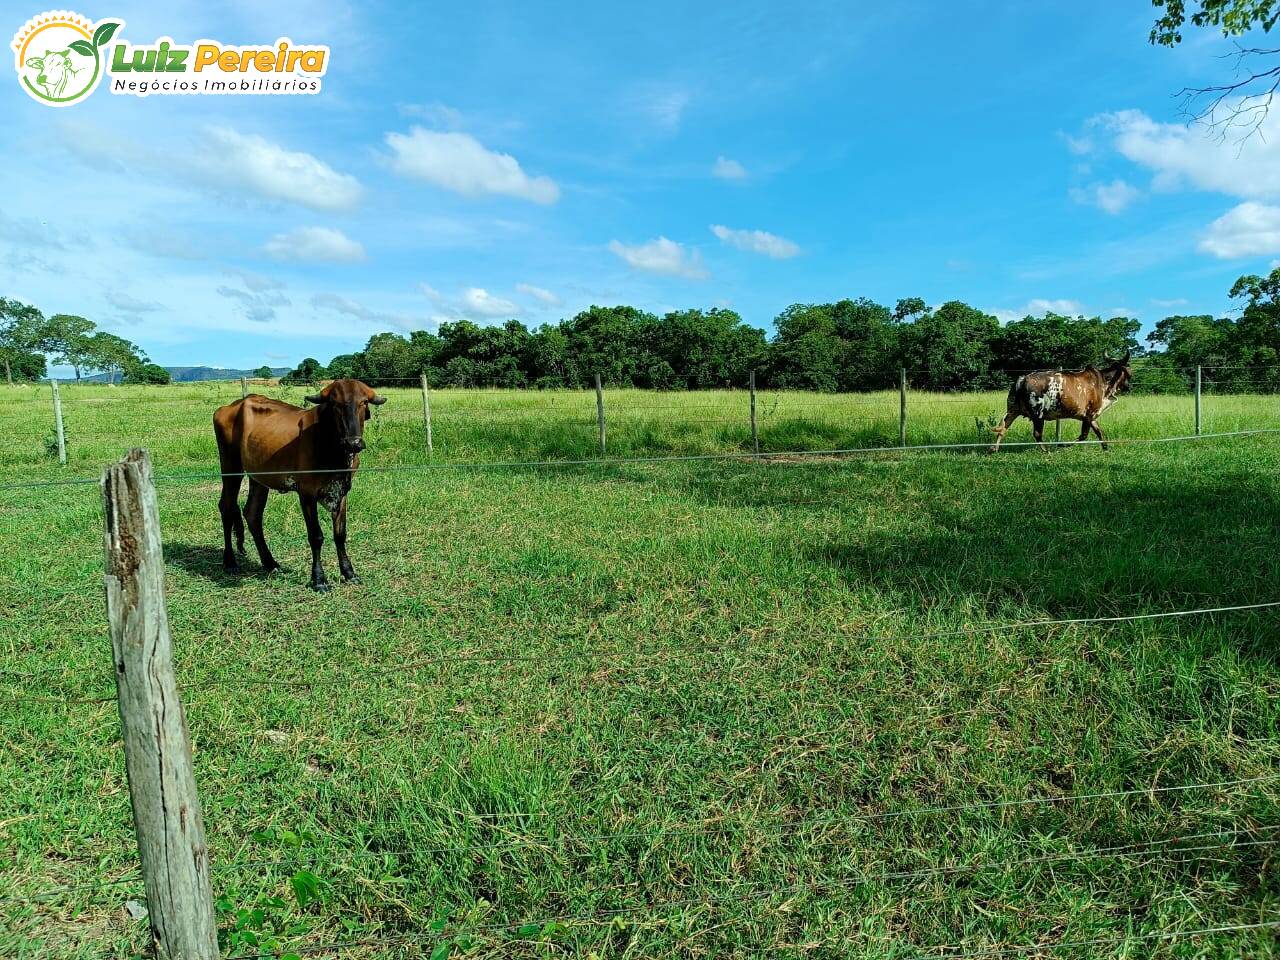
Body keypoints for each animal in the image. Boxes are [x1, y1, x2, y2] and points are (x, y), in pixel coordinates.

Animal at [212, 378, 384, 591]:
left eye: (364, 402)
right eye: (335, 403)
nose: (353, 443)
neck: (332, 447)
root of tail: (231, 406)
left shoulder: (342, 491)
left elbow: (340, 534)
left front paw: (349, 573)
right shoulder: (307, 493)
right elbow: (316, 536)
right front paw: (318, 579)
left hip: (258, 479)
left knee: (252, 514)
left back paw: (270, 563)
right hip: (230, 467)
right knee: (227, 508)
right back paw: (230, 562)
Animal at [988, 353, 1131, 455]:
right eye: (1128, 373)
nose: (1129, 386)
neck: (1103, 381)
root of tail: (1023, 378)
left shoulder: (1091, 416)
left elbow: (1099, 432)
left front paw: (1106, 447)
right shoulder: (1089, 415)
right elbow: (1083, 436)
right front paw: (1063, 445)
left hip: (1013, 410)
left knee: (1003, 428)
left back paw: (993, 449)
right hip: (1038, 415)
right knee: (1037, 434)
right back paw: (1046, 451)